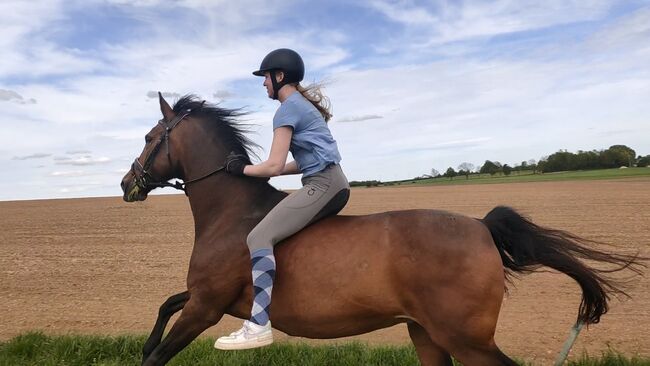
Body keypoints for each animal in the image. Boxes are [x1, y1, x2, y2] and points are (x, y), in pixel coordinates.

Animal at [120, 93, 636, 364]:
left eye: (148, 137)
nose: (127, 184)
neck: (232, 214)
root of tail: (481, 226)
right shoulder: (206, 298)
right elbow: (165, 306)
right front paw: (145, 339)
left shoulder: (207, 307)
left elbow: (159, 354)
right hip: (427, 335)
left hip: (467, 340)